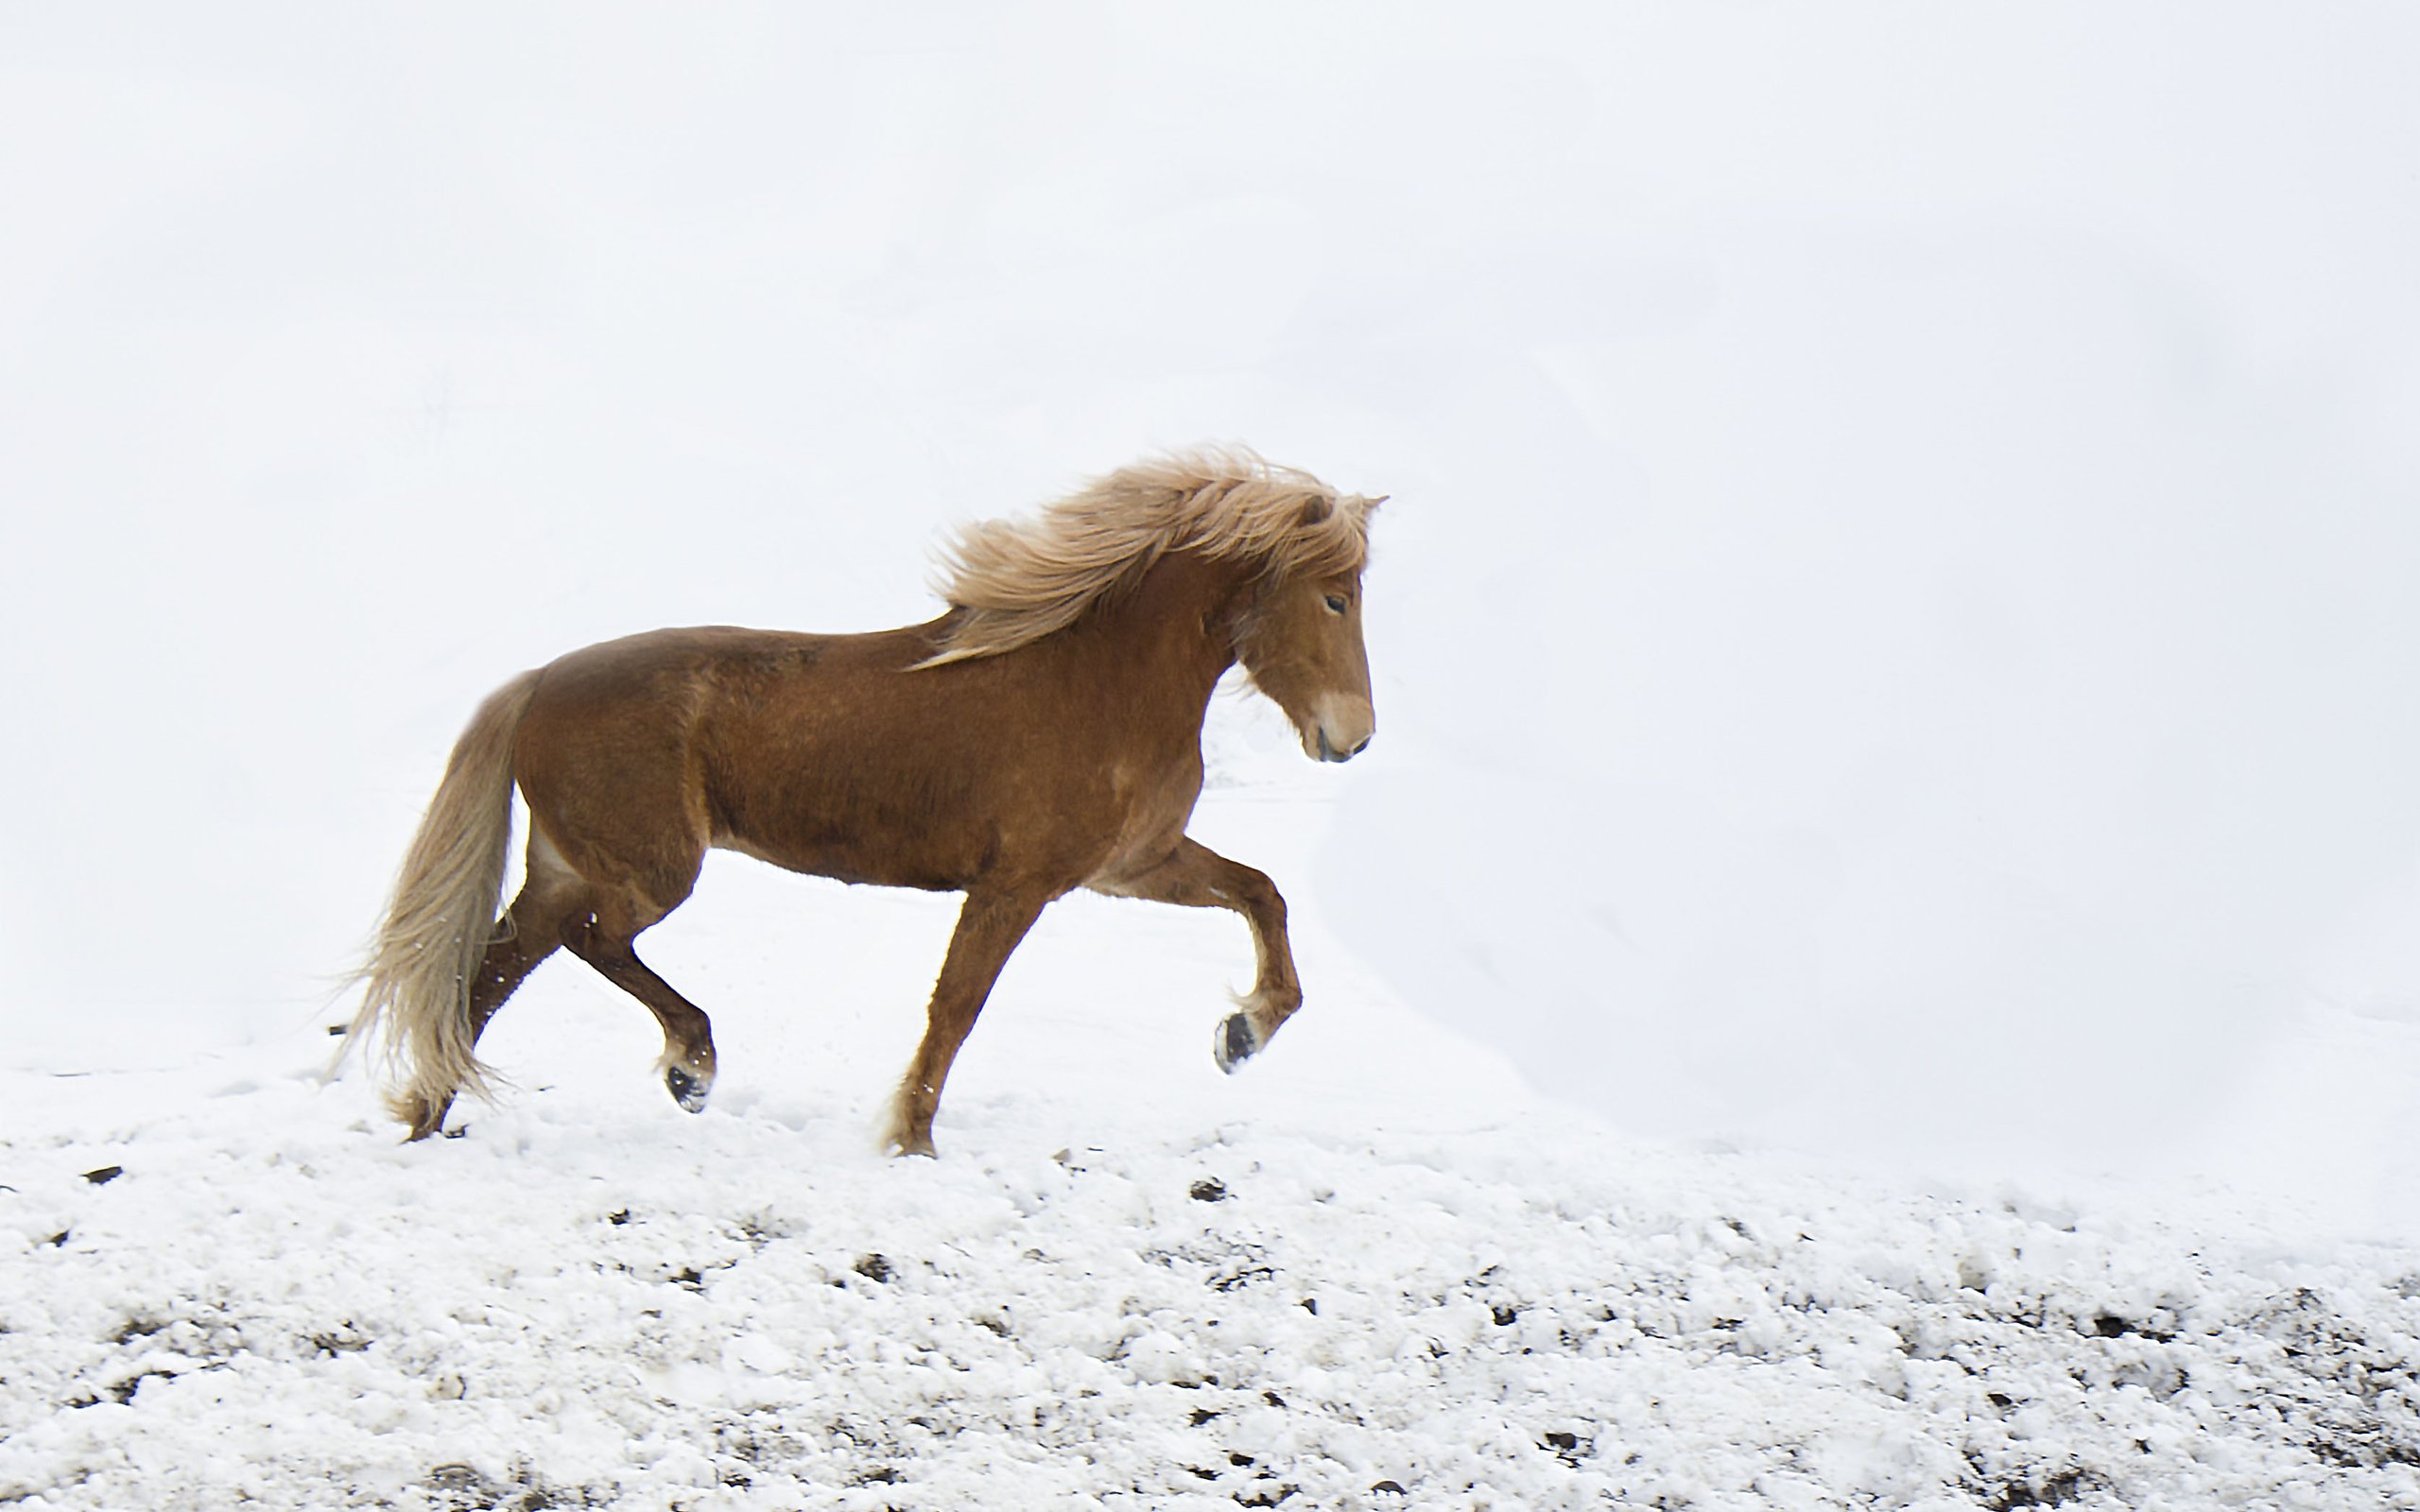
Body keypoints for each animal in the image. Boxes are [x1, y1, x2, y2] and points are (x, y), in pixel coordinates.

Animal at [351, 450, 1393, 1156]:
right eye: (1335, 598)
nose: (1351, 736)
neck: (1098, 680)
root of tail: (535, 684)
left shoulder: (1129, 867)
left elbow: (1262, 892)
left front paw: (1242, 1034)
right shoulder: (1017, 884)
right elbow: (957, 1006)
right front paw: (911, 1138)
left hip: (569, 865)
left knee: (492, 967)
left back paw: (431, 1111)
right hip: (647, 870)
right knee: (578, 944)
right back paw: (691, 1064)